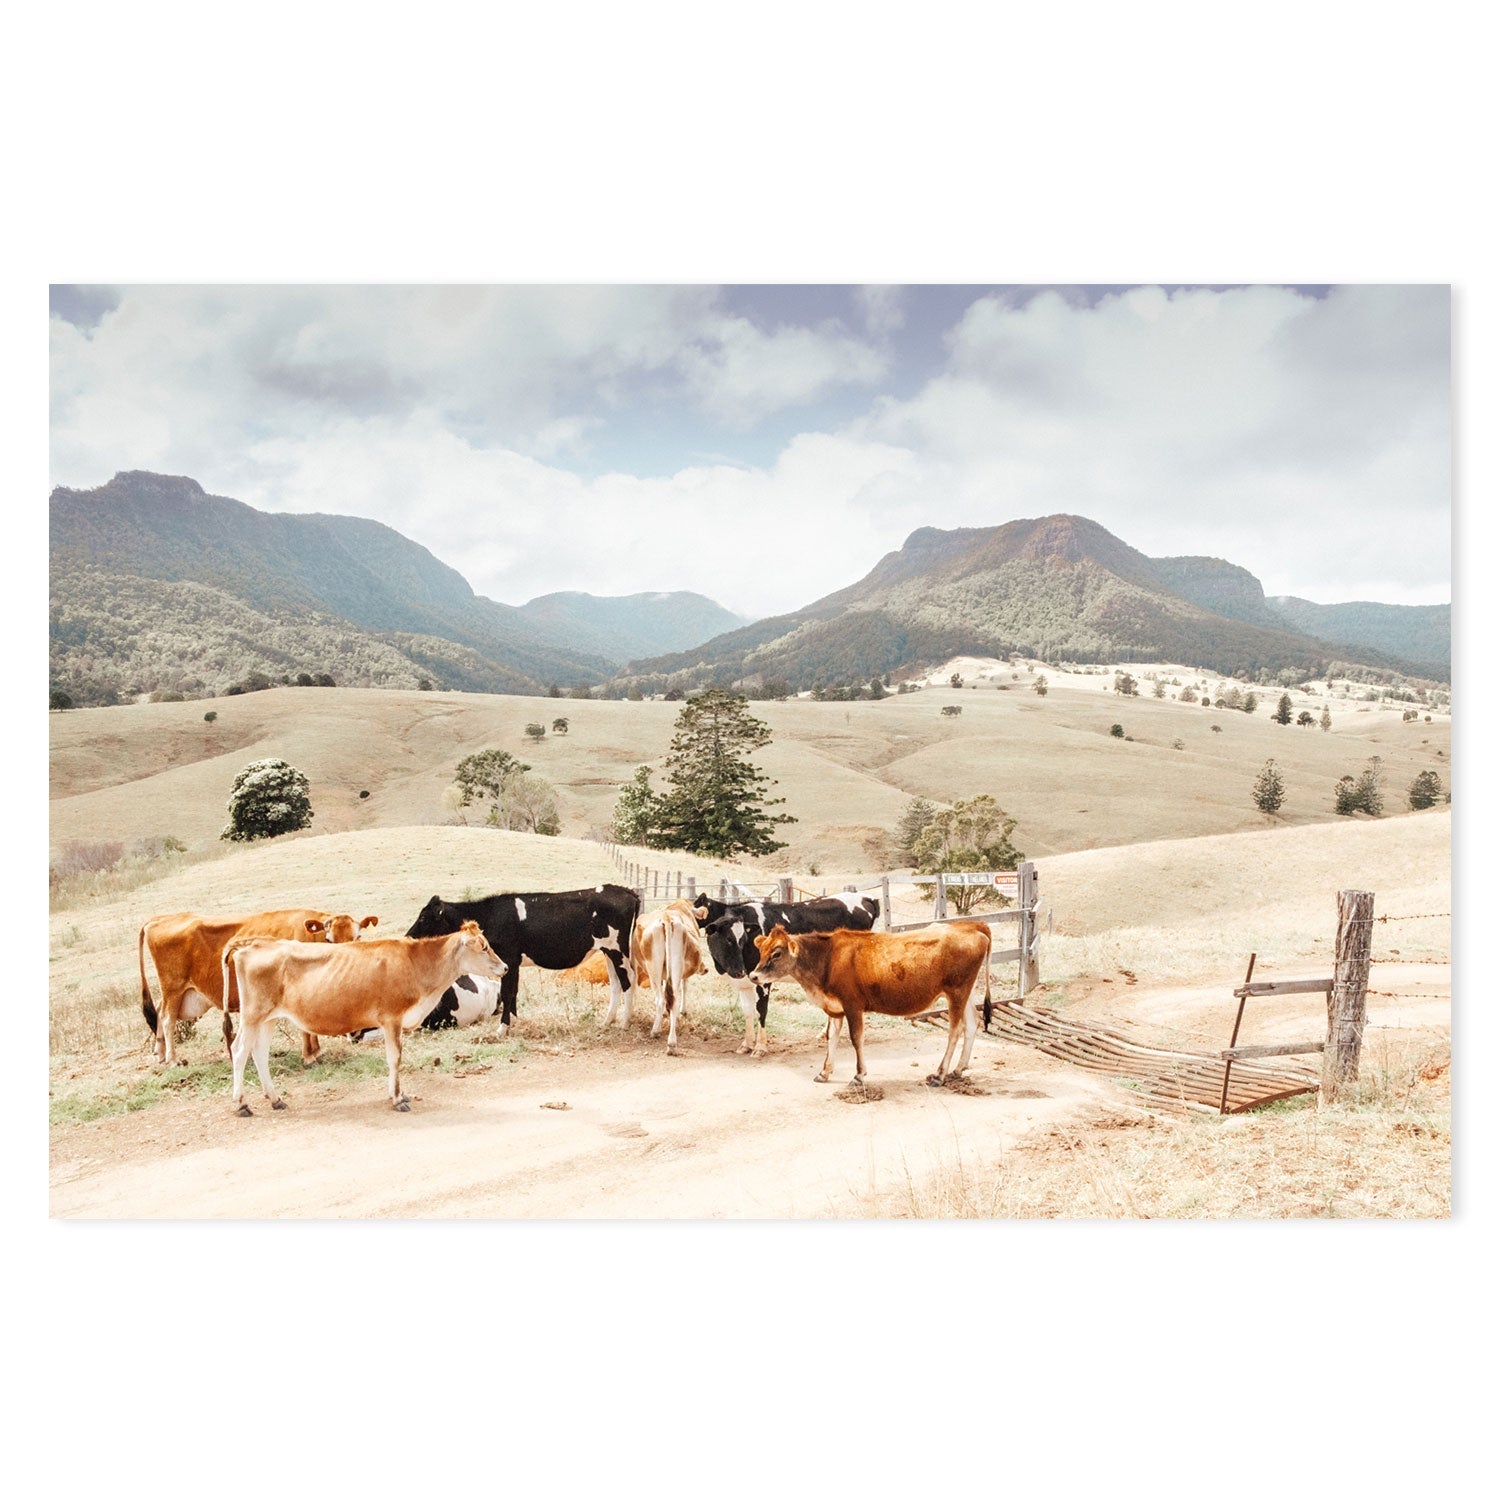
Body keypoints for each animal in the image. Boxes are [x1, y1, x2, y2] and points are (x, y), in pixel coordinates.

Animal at [138, 900, 378, 1068]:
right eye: (329, 939)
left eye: (358, 936)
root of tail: (159, 919)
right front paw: (309, 1055)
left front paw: (316, 1051)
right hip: (173, 987)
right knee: (167, 1019)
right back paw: (173, 1059)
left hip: (179, 992)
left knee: (159, 1013)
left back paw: (160, 1054)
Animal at [220, 912, 504, 1116]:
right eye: (483, 947)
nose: (505, 967)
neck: (415, 964)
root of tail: (256, 943)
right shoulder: (391, 1019)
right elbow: (395, 1058)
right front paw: (397, 1099)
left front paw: (398, 1095)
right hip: (253, 1014)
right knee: (240, 1050)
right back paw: (241, 1105)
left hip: (268, 1018)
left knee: (259, 1053)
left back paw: (275, 1099)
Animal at [405, 876, 639, 1032]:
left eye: (424, 917)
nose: (408, 936)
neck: (491, 916)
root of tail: (625, 891)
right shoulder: (512, 963)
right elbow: (514, 992)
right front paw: (514, 1023)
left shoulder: (508, 958)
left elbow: (508, 992)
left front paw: (502, 1029)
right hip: (608, 951)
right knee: (616, 983)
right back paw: (607, 1021)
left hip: (618, 949)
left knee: (628, 980)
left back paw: (625, 1023)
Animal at [687, 888, 882, 1056]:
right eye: (728, 939)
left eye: (741, 940)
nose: (739, 970)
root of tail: (866, 897)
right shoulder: (744, 983)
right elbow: (748, 1012)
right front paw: (746, 1045)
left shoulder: (763, 980)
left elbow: (761, 1011)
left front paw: (760, 1047)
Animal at [750, 918, 996, 1086]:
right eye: (760, 950)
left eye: (777, 953)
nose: (753, 976)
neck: (827, 958)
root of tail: (972, 925)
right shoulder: (834, 1007)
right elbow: (831, 1038)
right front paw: (824, 1072)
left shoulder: (852, 1004)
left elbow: (856, 1038)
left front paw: (859, 1075)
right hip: (966, 991)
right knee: (972, 1023)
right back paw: (958, 1069)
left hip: (956, 991)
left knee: (955, 1030)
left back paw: (939, 1074)